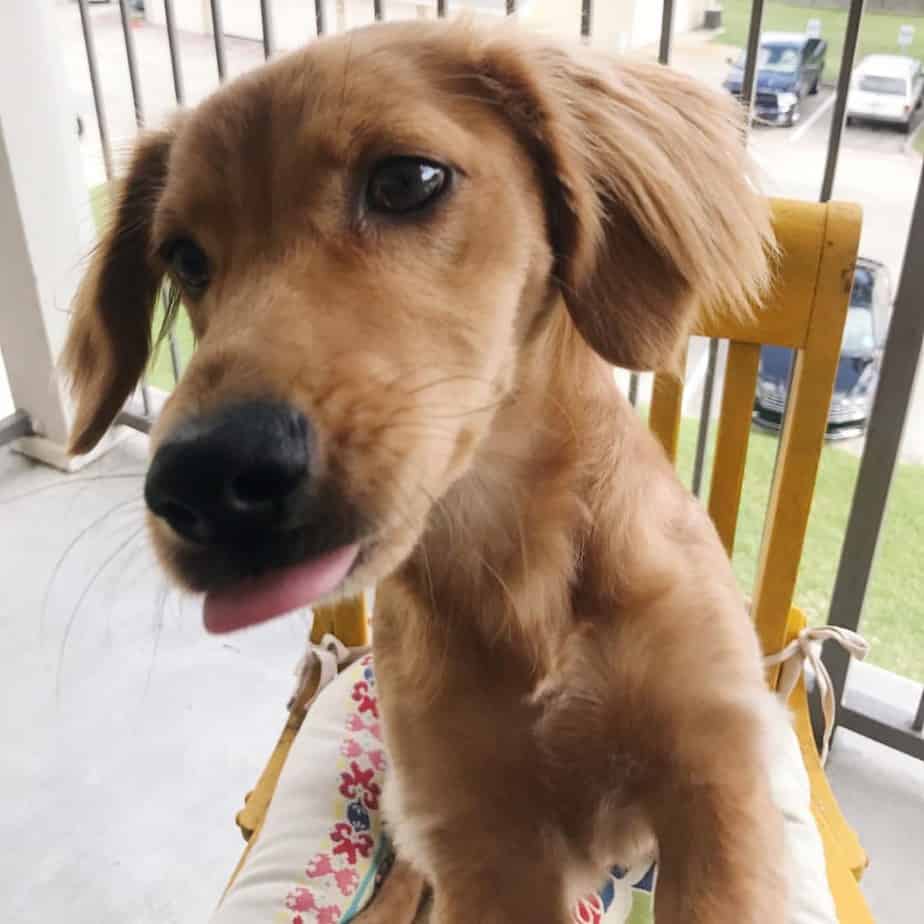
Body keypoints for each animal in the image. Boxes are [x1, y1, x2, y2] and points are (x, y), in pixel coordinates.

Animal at [65, 19, 788, 924]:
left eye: (407, 181)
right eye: (185, 257)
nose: (198, 482)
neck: (516, 561)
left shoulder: (716, 788)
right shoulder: (482, 836)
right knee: (407, 863)